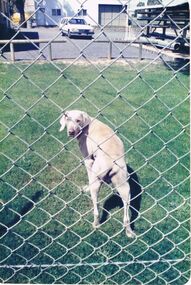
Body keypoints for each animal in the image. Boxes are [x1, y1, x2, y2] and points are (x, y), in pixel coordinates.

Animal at [59, 109, 136, 237]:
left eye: (78, 120)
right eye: (67, 119)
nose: (71, 132)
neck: (88, 123)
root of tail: (112, 163)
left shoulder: (88, 160)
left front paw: (86, 187)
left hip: (97, 183)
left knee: (96, 209)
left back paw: (95, 224)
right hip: (124, 187)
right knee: (126, 215)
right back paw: (129, 232)